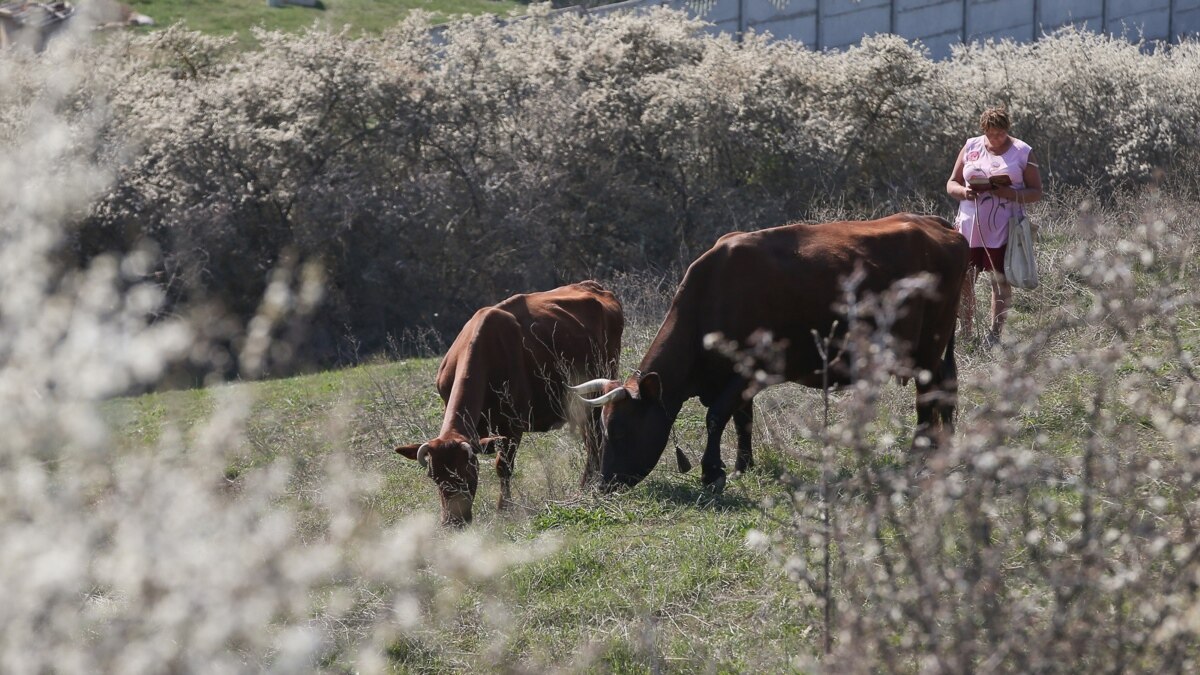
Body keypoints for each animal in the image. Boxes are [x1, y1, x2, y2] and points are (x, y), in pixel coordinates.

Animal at [398, 278, 624, 526]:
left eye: (467, 472)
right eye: (433, 476)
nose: (453, 522)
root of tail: (592, 285)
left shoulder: (512, 426)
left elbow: (503, 467)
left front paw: (504, 509)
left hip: (598, 389)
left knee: (594, 439)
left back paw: (588, 485)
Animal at [573, 214, 974, 494]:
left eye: (619, 429)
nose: (604, 485)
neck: (712, 295)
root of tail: (934, 224)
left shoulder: (750, 369)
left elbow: (718, 417)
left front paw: (712, 472)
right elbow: (742, 418)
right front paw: (742, 465)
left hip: (927, 347)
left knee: (927, 396)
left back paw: (919, 455)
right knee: (945, 389)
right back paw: (944, 446)